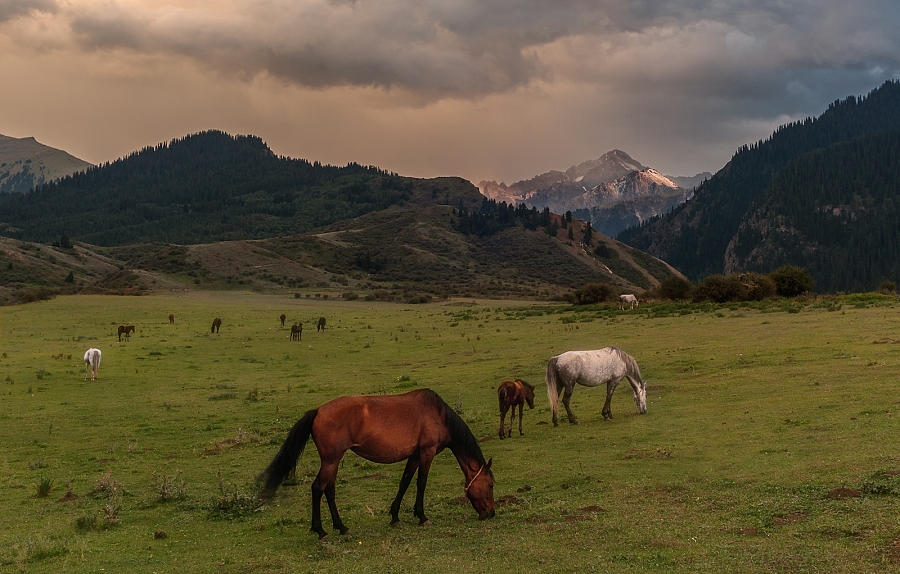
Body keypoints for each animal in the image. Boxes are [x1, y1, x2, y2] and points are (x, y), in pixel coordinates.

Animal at [260, 390, 496, 544]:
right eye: (491, 485)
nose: (491, 513)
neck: (439, 415)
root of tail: (318, 411)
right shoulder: (426, 453)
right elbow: (421, 483)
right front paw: (422, 517)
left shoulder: (414, 456)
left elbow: (404, 482)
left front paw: (395, 517)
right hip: (330, 460)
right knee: (318, 488)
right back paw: (321, 531)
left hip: (333, 461)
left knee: (329, 489)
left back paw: (341, 527)